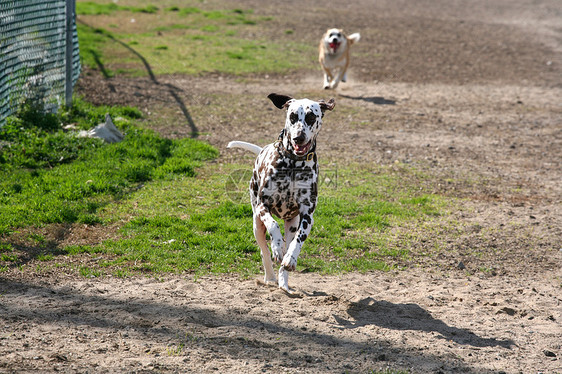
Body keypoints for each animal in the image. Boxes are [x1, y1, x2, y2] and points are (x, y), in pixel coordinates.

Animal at [226, 93, 332, 292]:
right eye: (292, 116)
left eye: (311, 117)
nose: (298, 137)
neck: (293, 165)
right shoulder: (263, 206)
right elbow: (273, 226)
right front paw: (276, 246)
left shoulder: (307, 216)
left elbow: (298, 241)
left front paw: (290, 258)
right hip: (256, 224)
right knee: (264, 251)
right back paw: (270, 277)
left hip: (292, 223)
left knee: (288, 247)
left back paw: (284, 282)